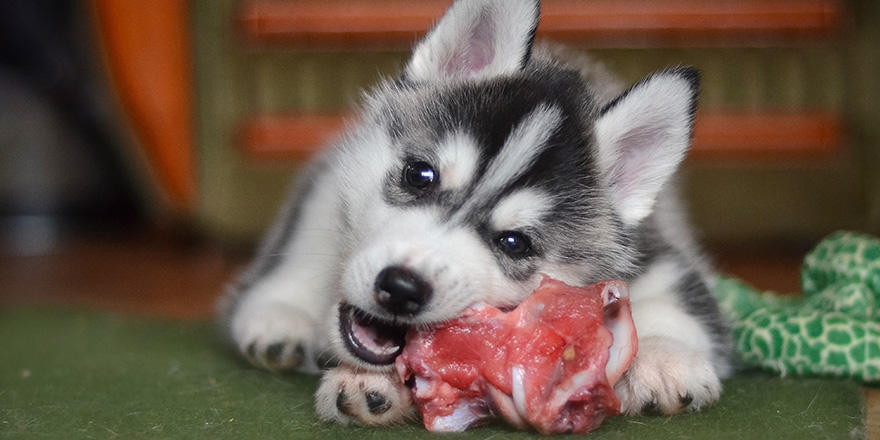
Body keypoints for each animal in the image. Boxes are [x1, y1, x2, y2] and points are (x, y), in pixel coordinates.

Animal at [220, 0, 728, 428]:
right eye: (420, 175)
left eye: (514, 242)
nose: (400, 288)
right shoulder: (325, 194)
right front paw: (299, 324)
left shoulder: (656, 250)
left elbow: (674, 300)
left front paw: (663, 358)